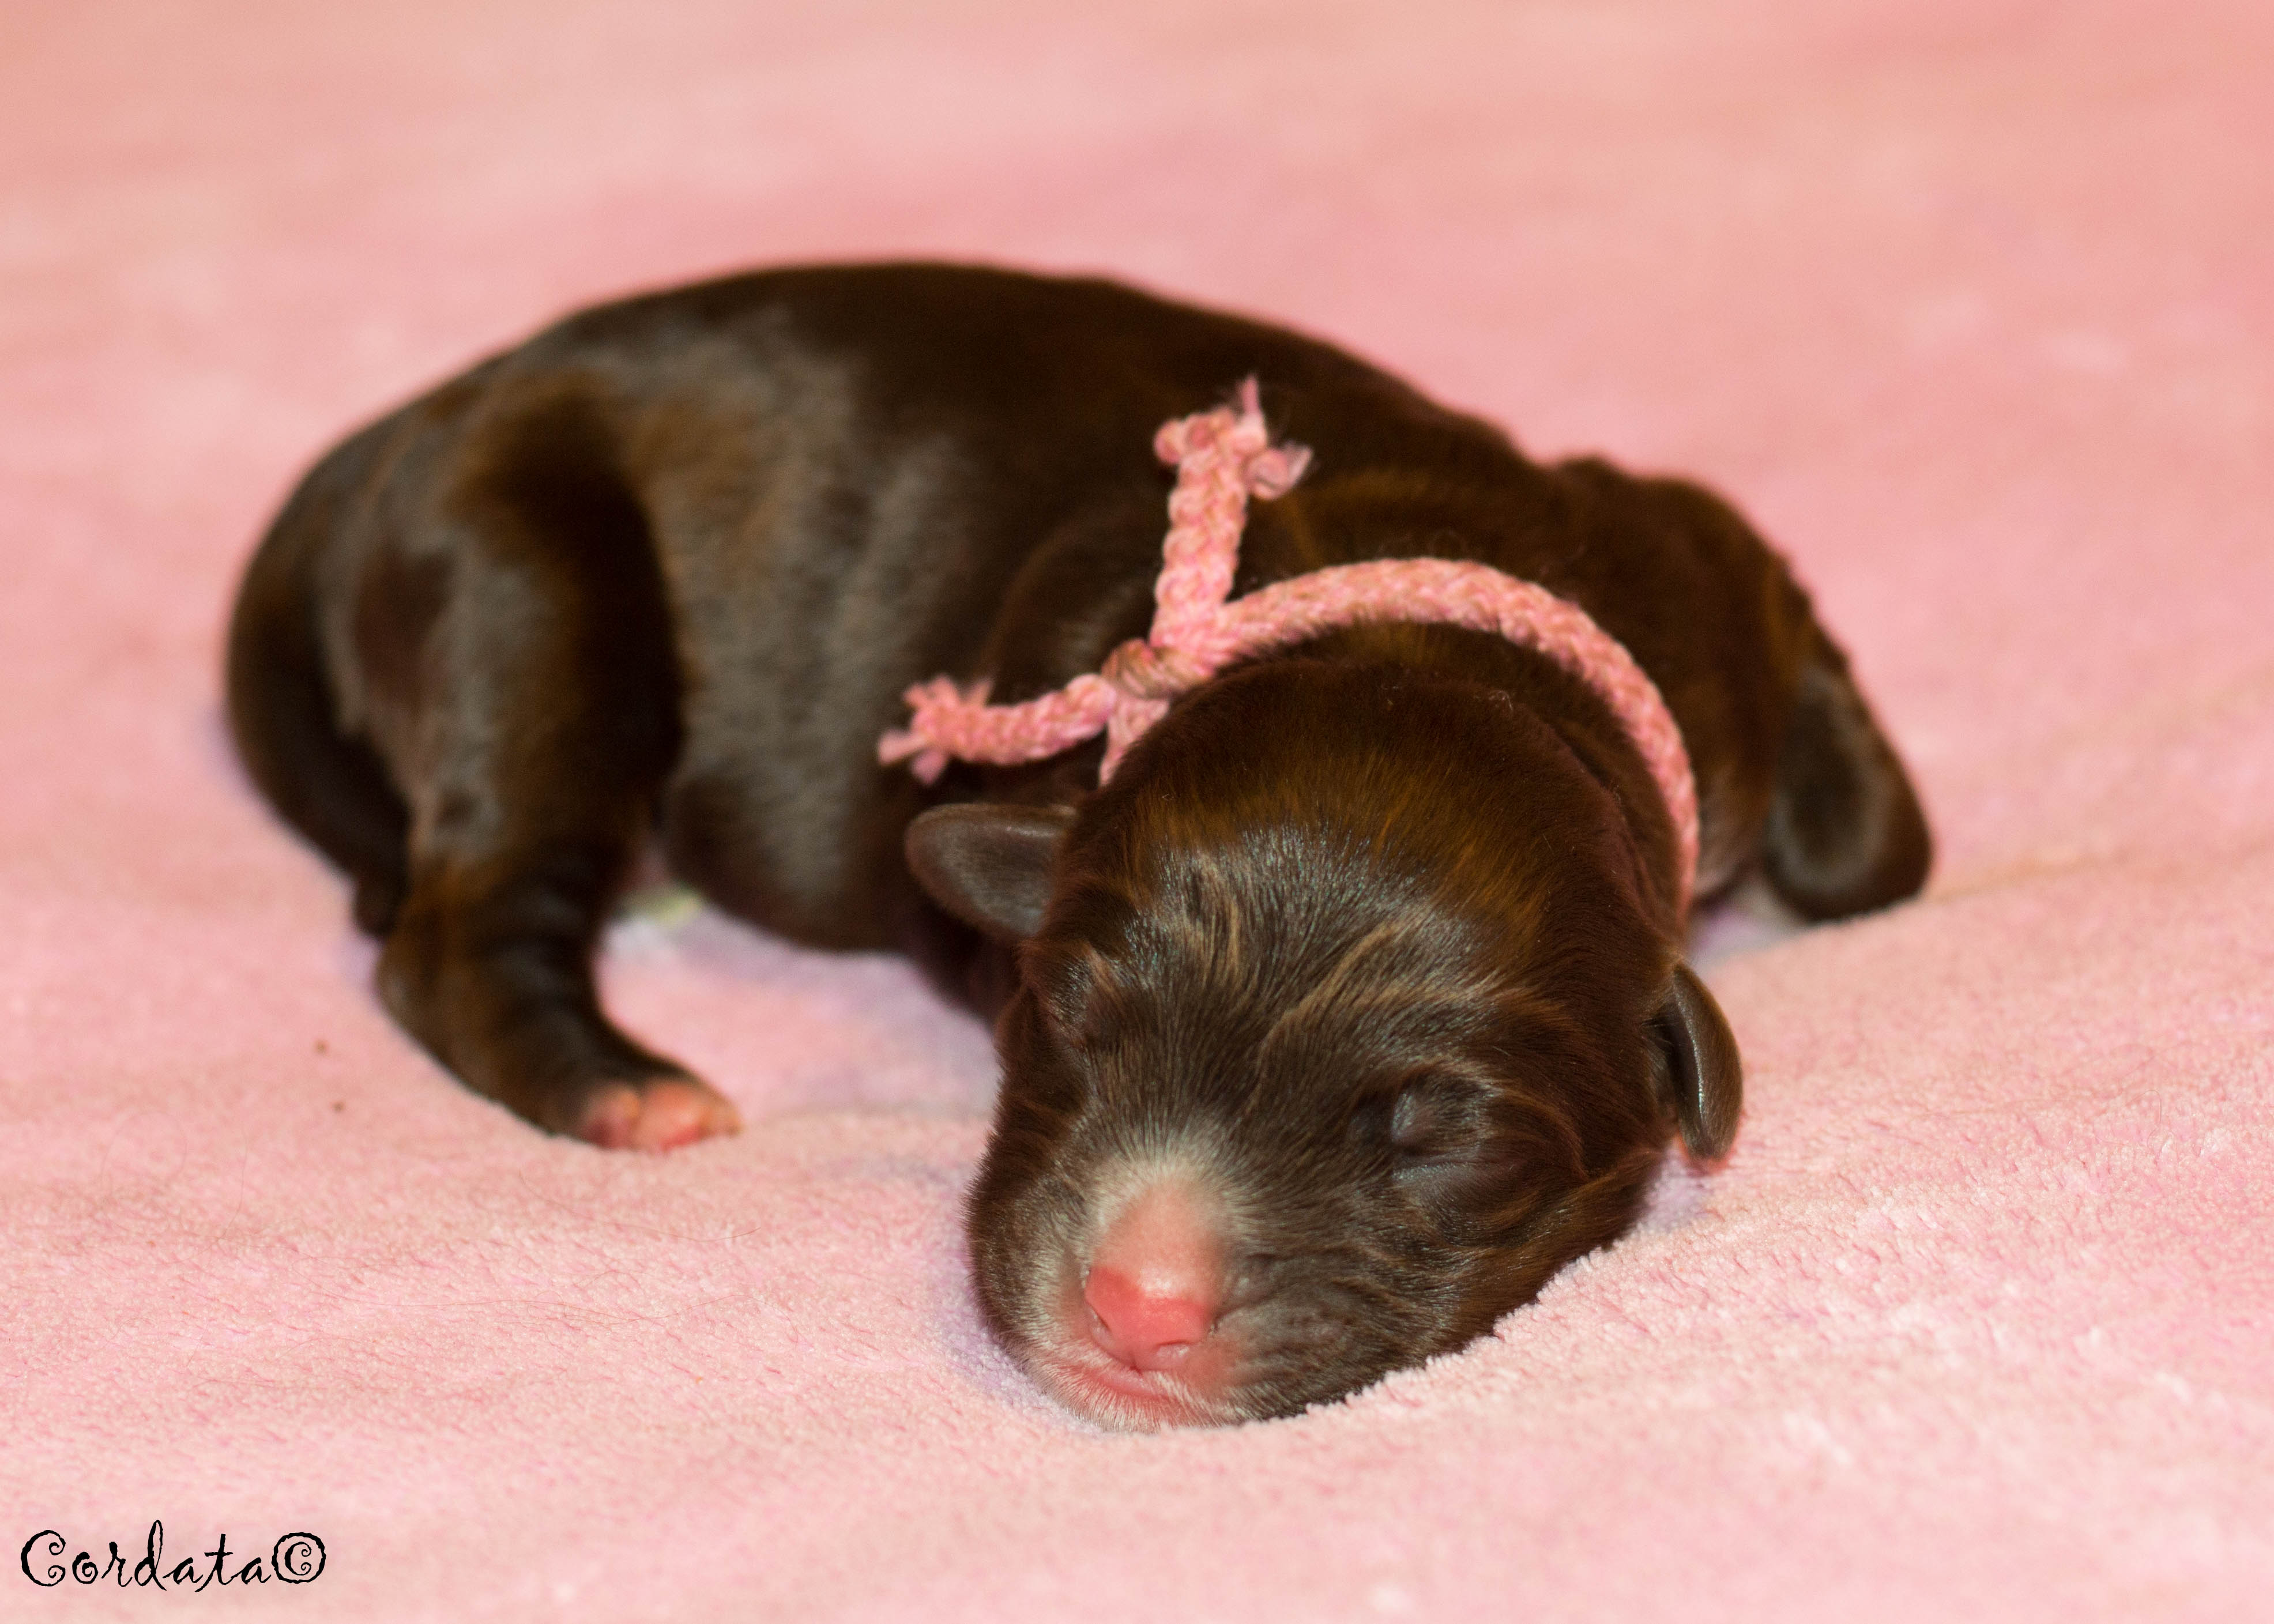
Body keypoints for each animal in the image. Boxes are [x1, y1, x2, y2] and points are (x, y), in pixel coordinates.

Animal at [227, 262, 1930, 1426]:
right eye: (1070, 1015)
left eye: (1437, 1134)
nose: (1138, 1304)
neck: (1414, 639)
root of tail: (418, 423)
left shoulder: (1702, 582)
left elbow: (1873, 849)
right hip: (532, 587)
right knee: (455, 930)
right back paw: (622, 1086)